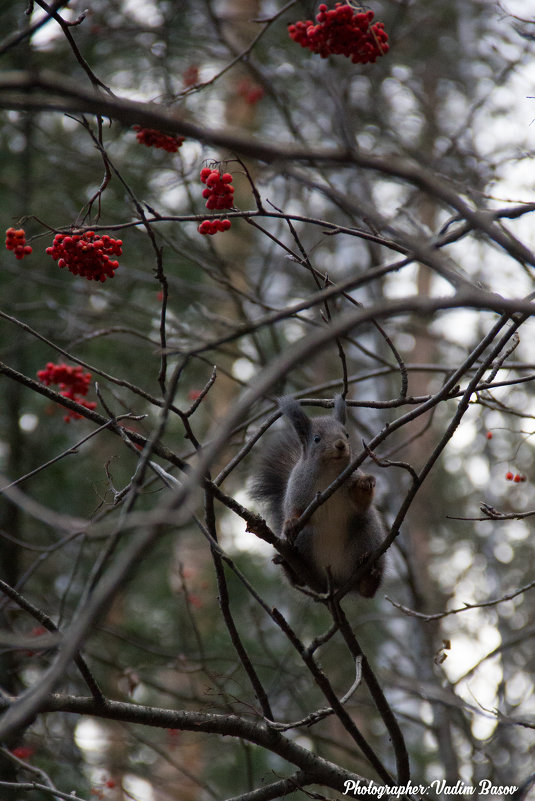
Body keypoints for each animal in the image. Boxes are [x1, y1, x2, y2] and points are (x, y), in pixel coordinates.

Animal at [251, 396, 386, 596]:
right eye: (316, 438)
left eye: (346, 435)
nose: (340, 445)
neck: (328, 474)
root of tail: (335, 583)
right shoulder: (297, 488)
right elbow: (293, 509)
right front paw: (291, 522)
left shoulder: (352, 477)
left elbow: (361, 503)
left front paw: (366, 483)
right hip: (303, 541)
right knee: (299, 580)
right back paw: (290, 568)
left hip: (368, 535)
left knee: (367, 591)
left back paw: (368, 575)